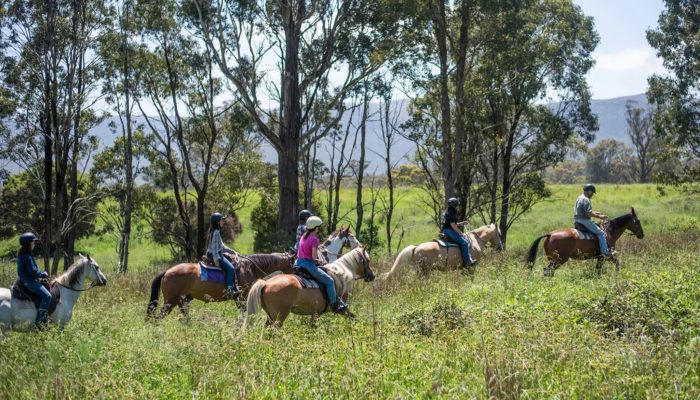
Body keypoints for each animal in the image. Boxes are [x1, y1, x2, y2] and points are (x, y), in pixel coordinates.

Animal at [147, 252, 295, 319]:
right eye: (294, 265)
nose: (297, 276)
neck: (250, 268)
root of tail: (167, 272)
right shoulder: (242, 298)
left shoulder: (239, 299)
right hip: (170, 301)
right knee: (157, 317)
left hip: (182, 300)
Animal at [243, 246, 375, 329]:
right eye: (367, 260)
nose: (372, 275)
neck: (340, 275)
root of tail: (266, 284)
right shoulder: (342, 309)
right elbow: (354, 317)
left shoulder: (315, 314)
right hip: (280, 316)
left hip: (271, 317)